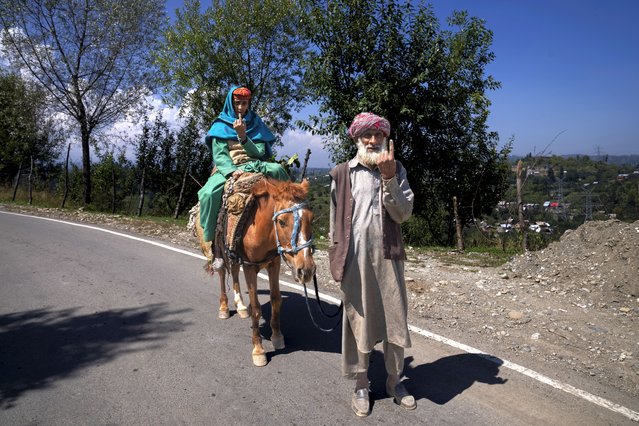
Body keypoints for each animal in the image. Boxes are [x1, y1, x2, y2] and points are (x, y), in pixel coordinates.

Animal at [194, 176, 316, 366]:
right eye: (281, 222)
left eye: (311, 219)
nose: (306, 270)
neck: (259, 228)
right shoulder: (250, 267)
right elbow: (258, 308)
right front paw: (258, 350)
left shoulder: (274, 263)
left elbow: (276, 300)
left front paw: (277, 336)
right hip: (221, 251)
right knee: (222, 274)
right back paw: (224, 307)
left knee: (234, 272)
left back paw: (242, 306)